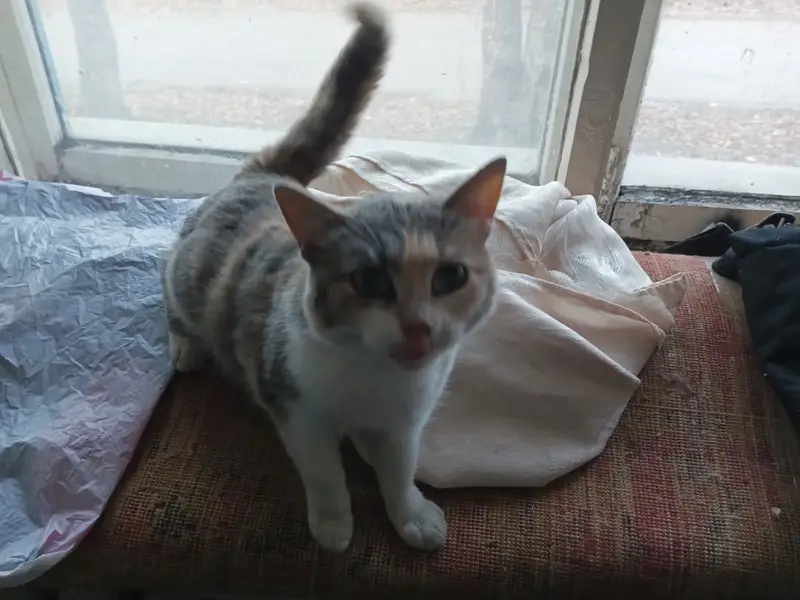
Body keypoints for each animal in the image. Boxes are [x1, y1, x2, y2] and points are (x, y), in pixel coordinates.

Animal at [162, 2, 506, 553]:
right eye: (369, 282)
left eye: (450, 276)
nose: (418, 329)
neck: (375, 377)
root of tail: (263, 176)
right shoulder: (294, 404)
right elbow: (323, 471)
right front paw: (332, 522)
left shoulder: (408, 419)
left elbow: (400, 467)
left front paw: (410, 512)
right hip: (188, 271)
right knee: (170, 291)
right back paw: (187, 344)